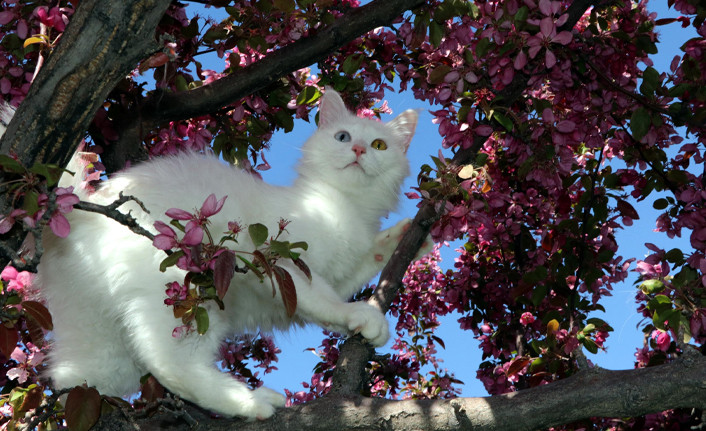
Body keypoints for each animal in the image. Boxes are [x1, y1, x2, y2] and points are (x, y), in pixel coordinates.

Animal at [34, 89, 418, 420]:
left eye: (379, 145)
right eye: (342, 137)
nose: (359, 150)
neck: (343, 206)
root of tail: (80, 214)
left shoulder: (342, 272)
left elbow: (366, 262)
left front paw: (411, 232)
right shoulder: (282, 263)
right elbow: (324, 300)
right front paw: (363, 316)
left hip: (102, 341)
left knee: (72, 378)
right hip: (182, 289)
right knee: (171, 364)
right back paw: (251, 402)